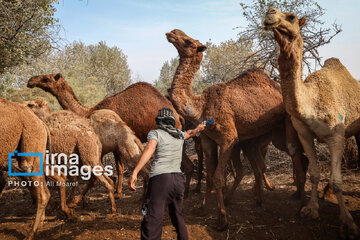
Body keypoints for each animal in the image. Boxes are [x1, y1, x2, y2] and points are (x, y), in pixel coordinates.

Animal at [27, 75, 197, 197]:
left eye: (46, 78)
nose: (30, 81)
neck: (88, 112)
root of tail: (178, 115)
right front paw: (118, 191)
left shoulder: (114, 144)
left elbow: (119, 168)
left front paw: (118, 193)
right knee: (185, 165)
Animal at [166, 29, 306, 230]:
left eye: (188, 41)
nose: (172, 33)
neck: (201, 106)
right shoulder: (208, 139)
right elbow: (210, 177)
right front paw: (202, 209)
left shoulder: (228, 138)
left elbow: (218, 177)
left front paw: (222, 219)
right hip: (263, 136)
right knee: (265, 163)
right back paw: (260, 199)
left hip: (286, 125)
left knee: (296, 153)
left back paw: (302, 206)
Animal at [262, 8, 358, 237]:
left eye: (292, 17)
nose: (270, 12)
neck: (312, 101)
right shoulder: (304, 134)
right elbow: (314, 174)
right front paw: (311, 210)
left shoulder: (336, 136)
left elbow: (337, 181)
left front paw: (348, 222)